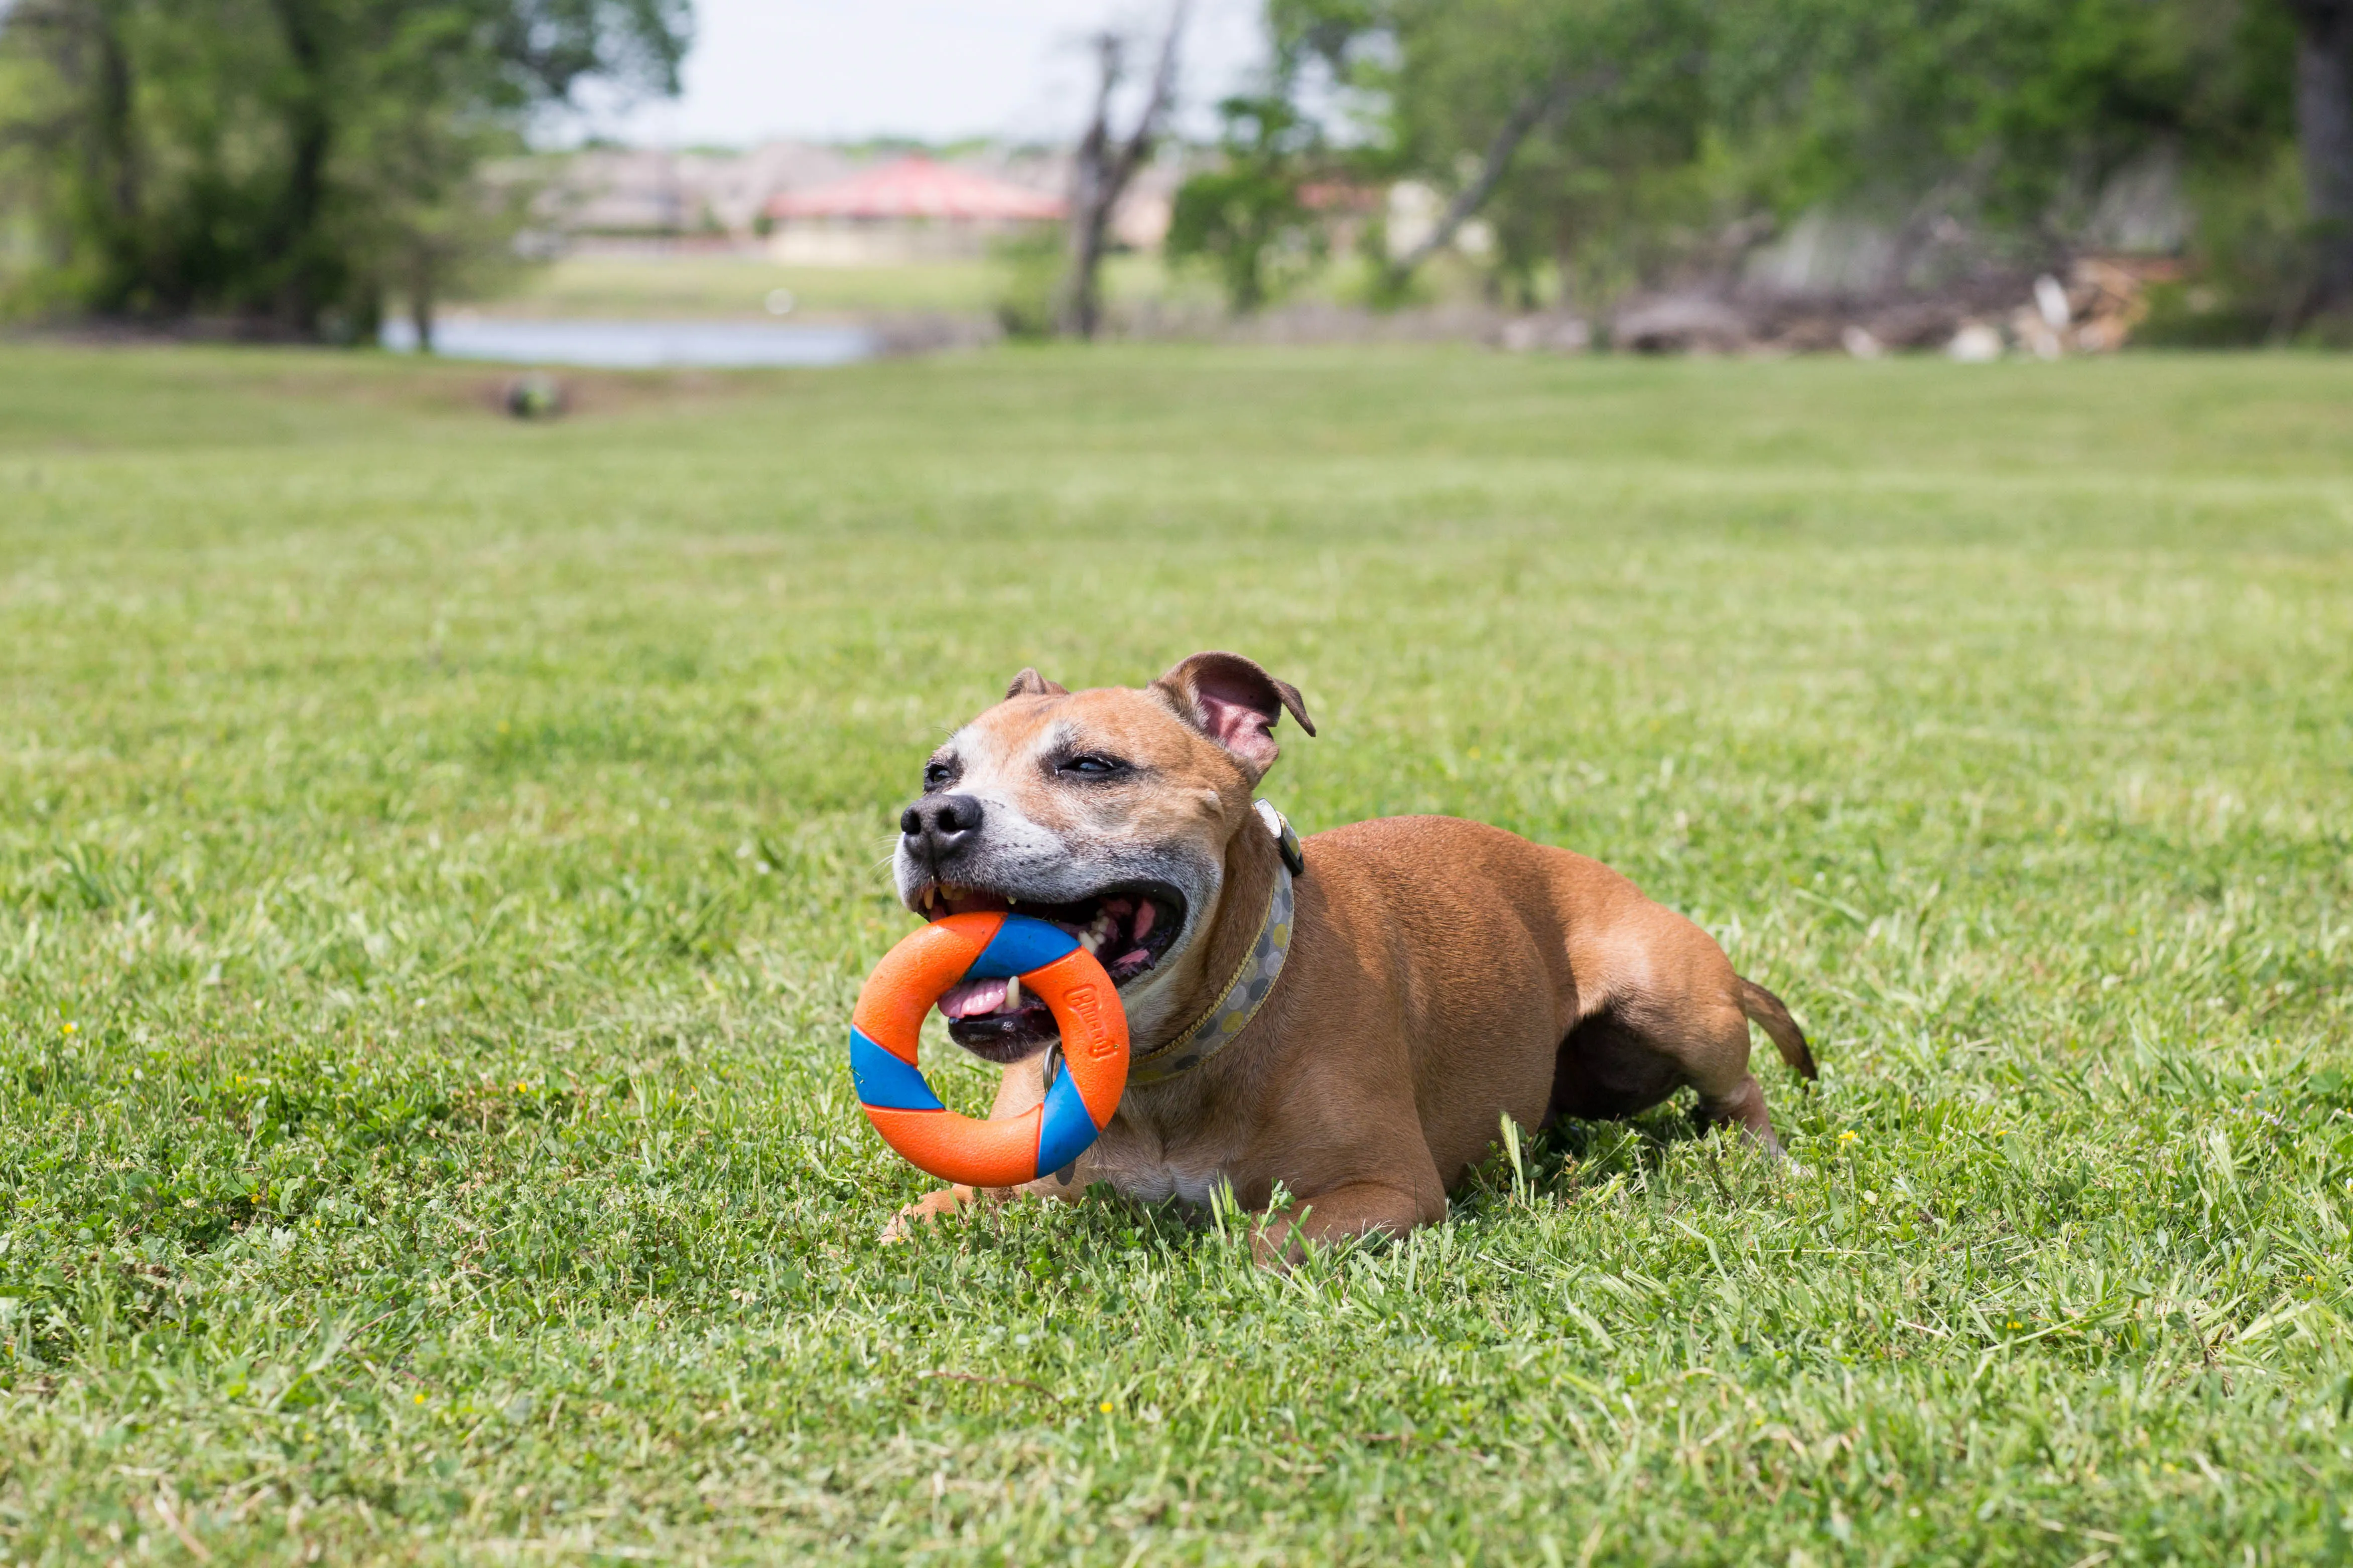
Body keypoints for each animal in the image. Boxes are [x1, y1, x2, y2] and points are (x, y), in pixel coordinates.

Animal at [884, 658, 1816, 1260]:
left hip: (1669, 1002)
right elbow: (926, 1208)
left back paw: (1762, 1159)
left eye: (1090, 765)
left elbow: (1258, 1239)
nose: (930, 820)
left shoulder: (1387, 1191)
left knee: (1740, 1090)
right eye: (936, 771)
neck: (1164, 1063)